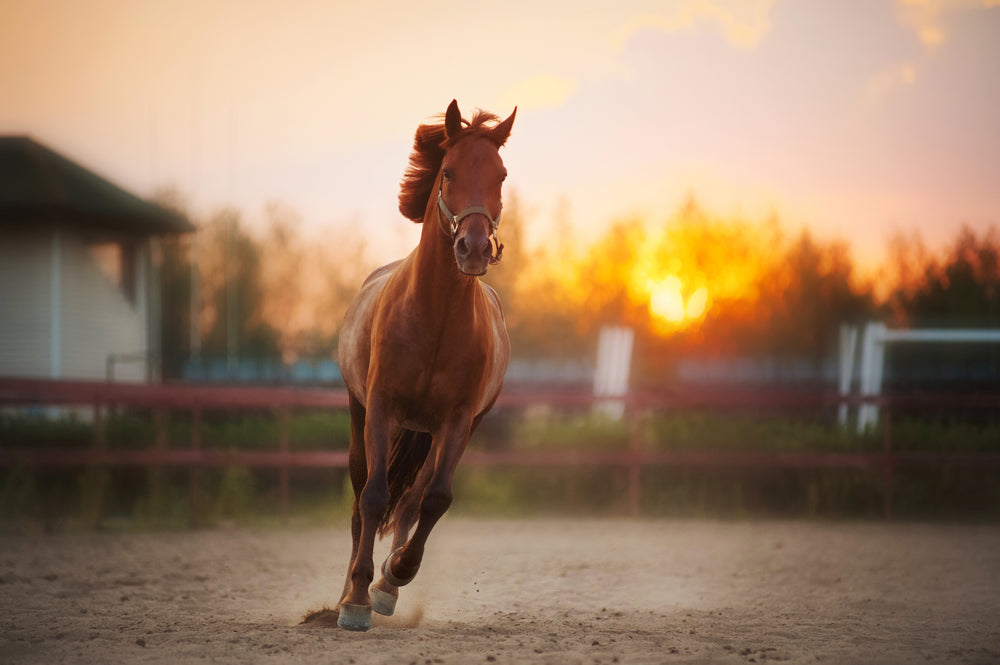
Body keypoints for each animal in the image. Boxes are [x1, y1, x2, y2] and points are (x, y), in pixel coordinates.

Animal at [335, 100, 516, 631]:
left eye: (500, 175)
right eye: (448, 170)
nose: (473, 248)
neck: (436, 316)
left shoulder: (457, 420)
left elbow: (433, 499)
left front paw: (393, 576)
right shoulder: (380, 406)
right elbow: (374, 497)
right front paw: (356, 601)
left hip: (439, 430)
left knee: (412, 501)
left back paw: (386, 584)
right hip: (361, 413)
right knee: (361, 500)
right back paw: (347, 590)